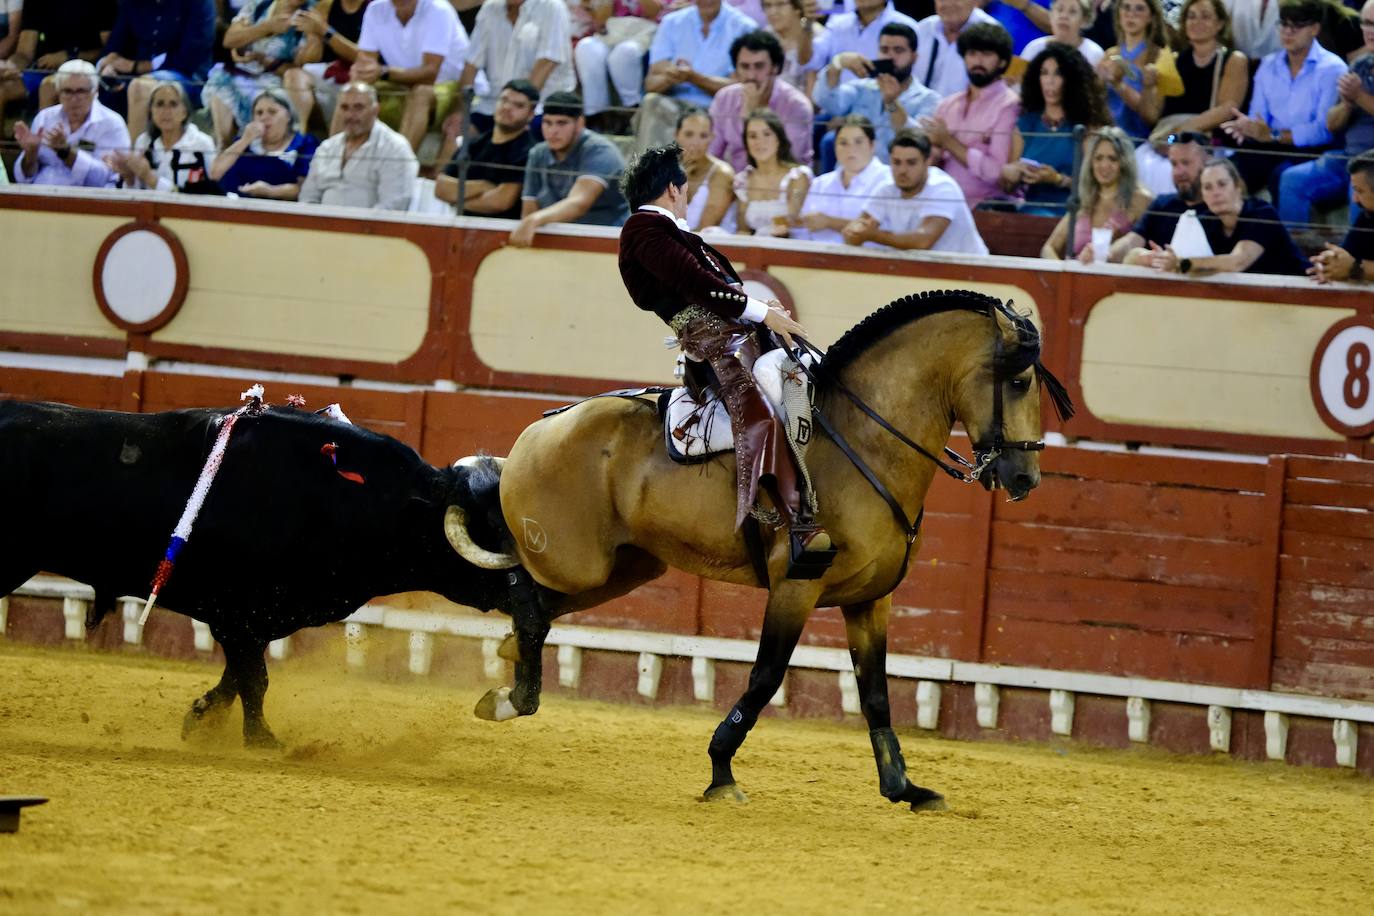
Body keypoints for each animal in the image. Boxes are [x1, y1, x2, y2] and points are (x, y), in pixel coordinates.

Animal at [0, 401, 516, 747]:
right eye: (495, 527)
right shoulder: (237, 614)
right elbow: (254, 677)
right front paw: (262, 739)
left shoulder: (259, 618)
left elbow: (239, 675)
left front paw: (201, 719)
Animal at [450, 292, 1071, 807]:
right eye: (1019, 382)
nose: (1025, 478)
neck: (865, 440)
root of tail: (537, 429)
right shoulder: (796, 587)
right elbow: (765, 676)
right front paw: (721, 771)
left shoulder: (872, 599)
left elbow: (875, 691)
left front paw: (903, 786)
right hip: (574, 561)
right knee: (523, 592)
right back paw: (514, 686)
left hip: (625, 567)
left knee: (536, 607)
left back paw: (507, 682)